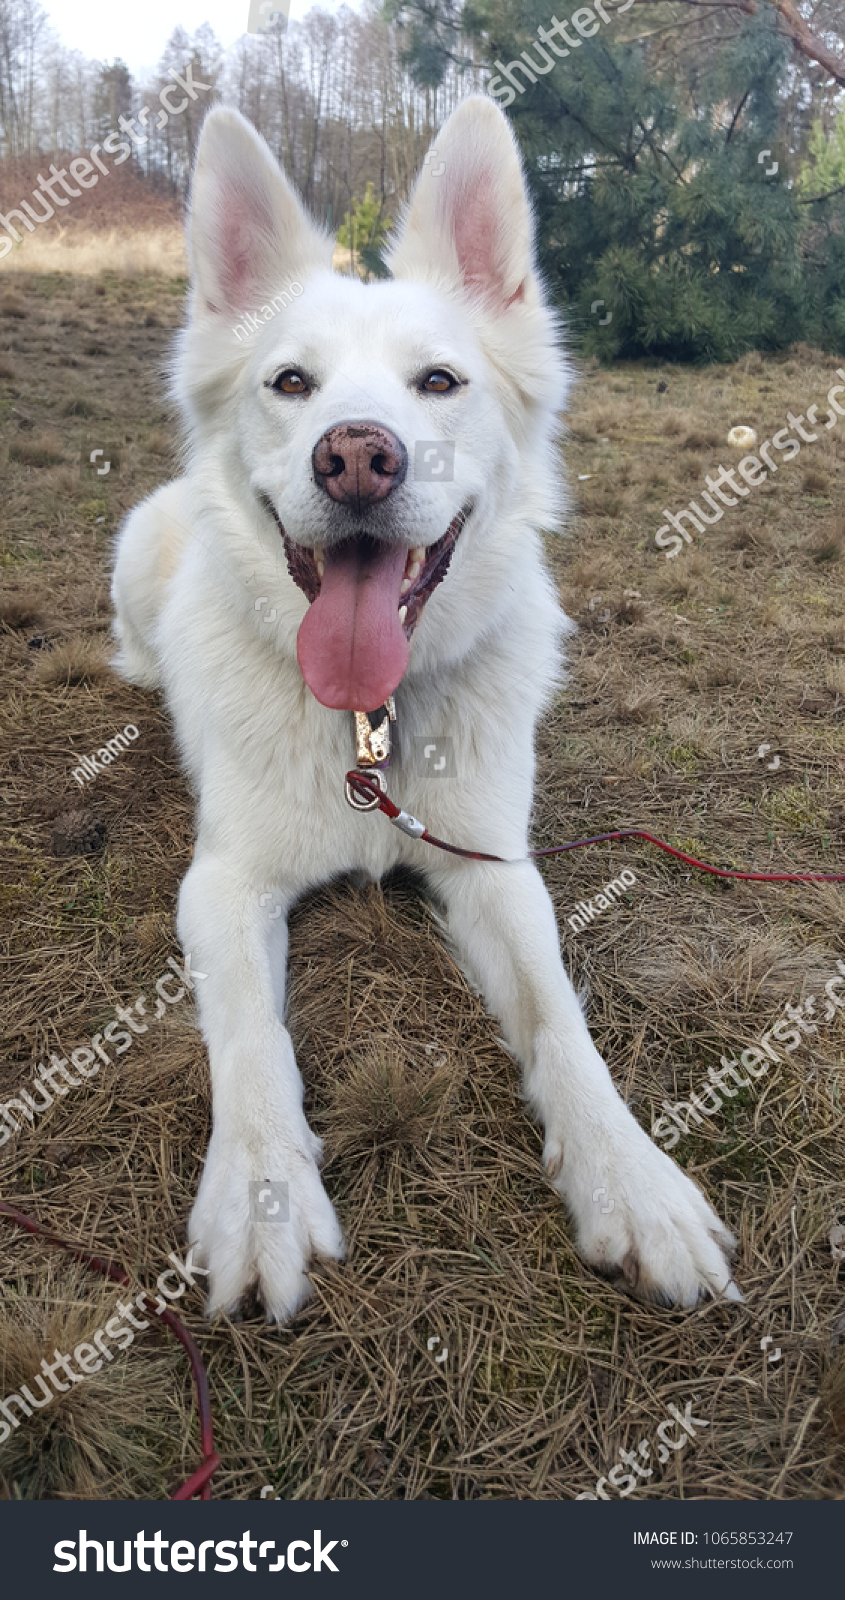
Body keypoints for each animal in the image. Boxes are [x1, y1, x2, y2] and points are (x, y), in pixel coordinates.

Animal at [113, 96, 739, 1312]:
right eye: (291, 383)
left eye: (438, 382)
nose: (357, 456)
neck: (370, 721)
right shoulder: (222, 885)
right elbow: (251, 1037)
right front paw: (262, 1191)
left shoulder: (494, 870)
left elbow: (559, 1018)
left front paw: (628, 1175)